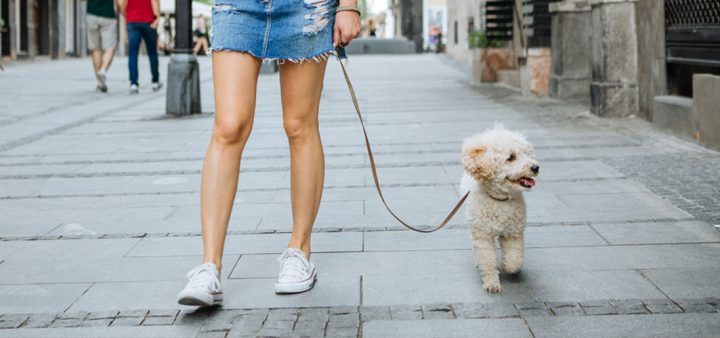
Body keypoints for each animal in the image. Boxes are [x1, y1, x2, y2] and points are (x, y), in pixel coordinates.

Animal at [464, 126, 536, 294]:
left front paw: (508, 266)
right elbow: (488, 260)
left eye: (527, 154)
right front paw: (492, 283)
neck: (499, 199)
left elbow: (515, 260)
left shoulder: (513, 232)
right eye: (511, 157)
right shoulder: (482, 235)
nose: (536, 167)